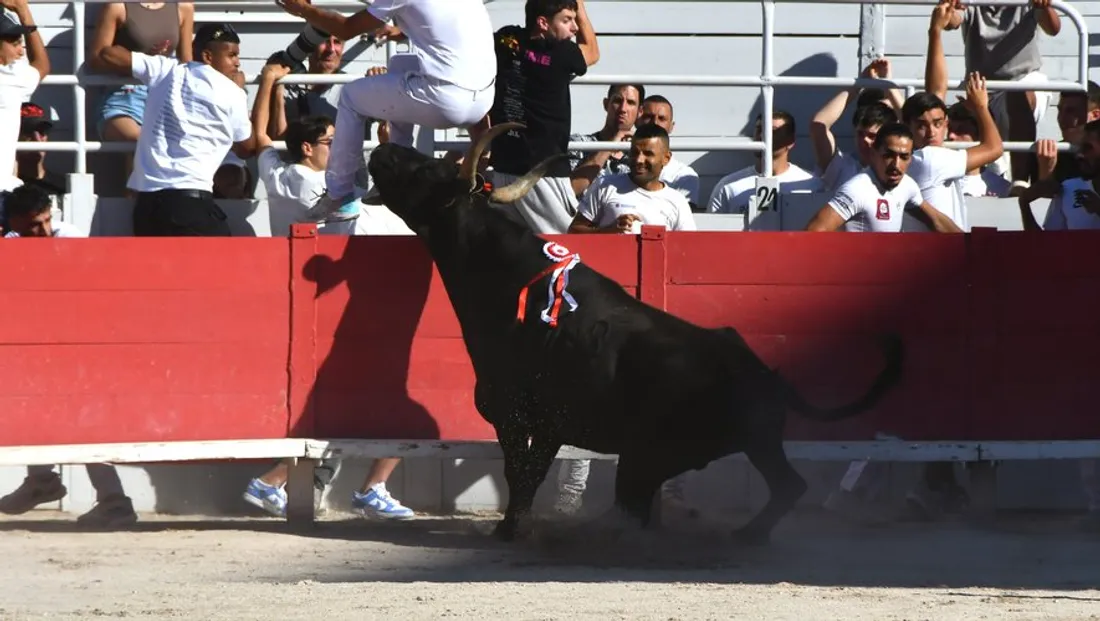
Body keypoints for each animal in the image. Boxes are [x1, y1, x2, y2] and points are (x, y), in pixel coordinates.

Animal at [369, 122, 902, 542]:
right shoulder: (548, 426)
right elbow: (530, 475)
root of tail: (770, 377)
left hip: (656, 453)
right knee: (782, 486)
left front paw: (506, 531)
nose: (382, 149)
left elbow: (520, 475)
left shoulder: (518, 416)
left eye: (426, 173)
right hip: (742, 446)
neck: (508, 280)